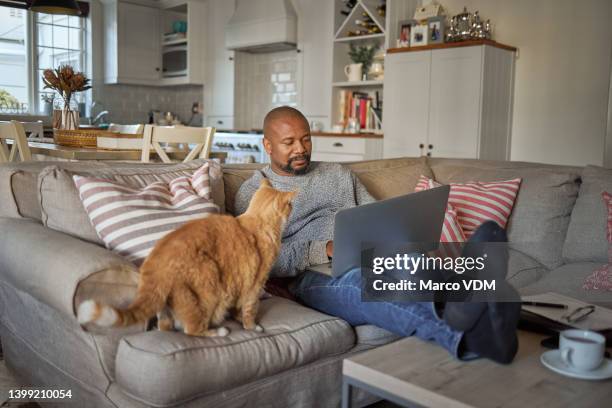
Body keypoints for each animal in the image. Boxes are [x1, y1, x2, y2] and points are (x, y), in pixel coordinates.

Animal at [77, 179, 296, 338]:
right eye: (290, 205)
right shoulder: (254, 287)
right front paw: (252, 327)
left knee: (165, 327)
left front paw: (237, 317)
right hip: (207, 289)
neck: (256, 221)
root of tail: (156, 264)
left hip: (166, 307)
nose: (293, 208)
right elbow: (250, 312)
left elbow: (238, 308)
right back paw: (219, 331)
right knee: (192, 330)